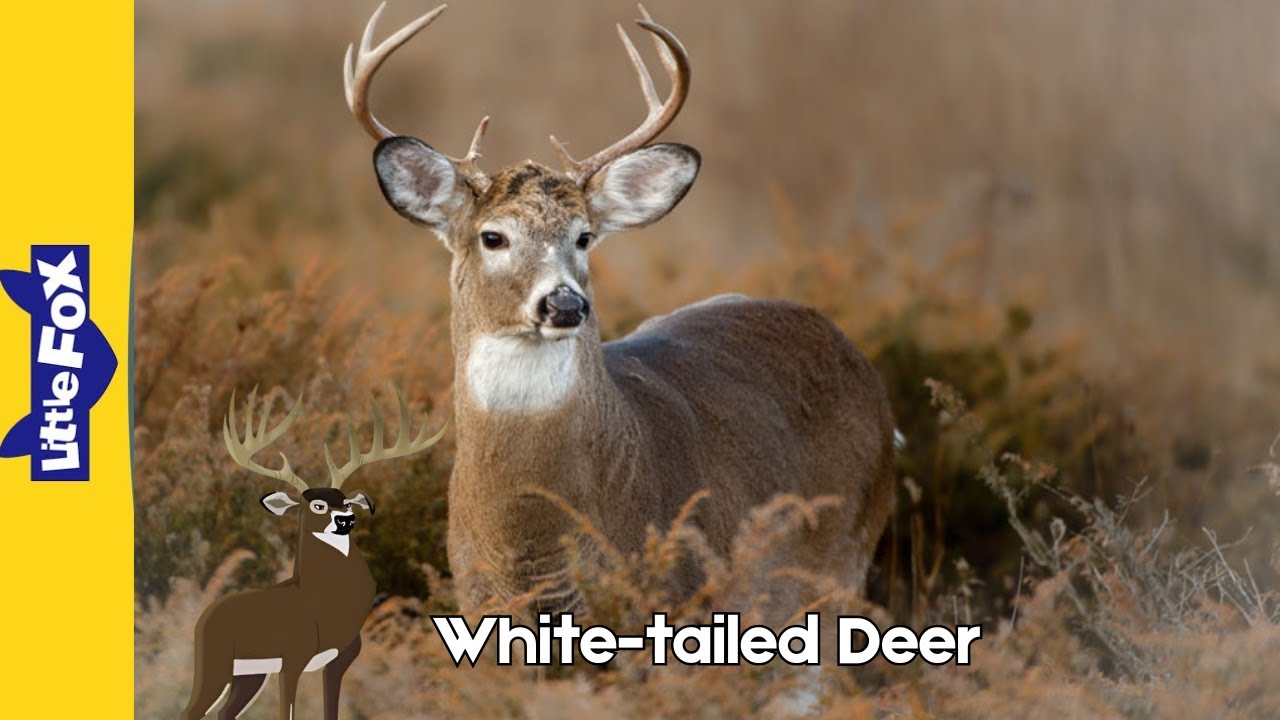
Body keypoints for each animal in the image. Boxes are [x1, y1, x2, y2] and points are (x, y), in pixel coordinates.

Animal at [180, 387, 445, 720]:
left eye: (346, 502)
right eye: (317, 505)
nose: (346, 520)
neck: (322, 608)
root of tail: (201, 618)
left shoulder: (338, 660)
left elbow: (331, 710)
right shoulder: (292, 658)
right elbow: (287, 713)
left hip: (249, 674)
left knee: (225, 713)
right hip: (215, 663)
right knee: (190, 710)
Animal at [344, 3, 895, 620]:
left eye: (584, 236)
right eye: (493, 237)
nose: (564, 303)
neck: (527, 541)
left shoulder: (675, 597)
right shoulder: (474, 601)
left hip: (841, 562)